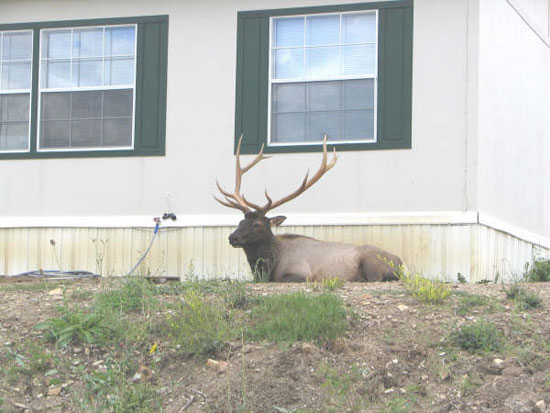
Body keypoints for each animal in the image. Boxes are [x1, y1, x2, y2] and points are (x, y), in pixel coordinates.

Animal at [217, 137, 406, 282]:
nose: (232, 237)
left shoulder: (302, 273)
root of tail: (401, 263)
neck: (270, 264)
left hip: (372, 262)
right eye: (240, 221)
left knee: (375, 278)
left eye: (257, 224)